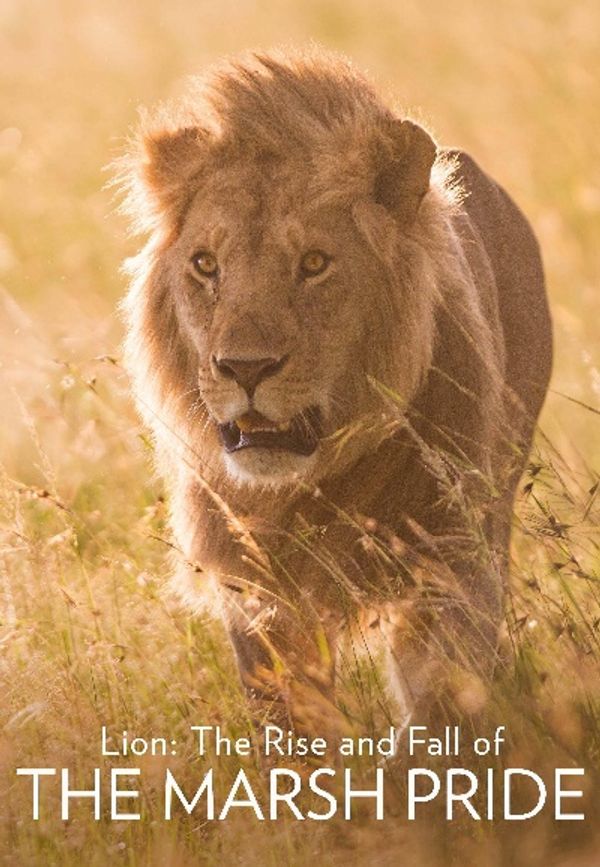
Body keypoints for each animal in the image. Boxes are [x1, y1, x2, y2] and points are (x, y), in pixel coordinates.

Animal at [117, 47, 552, 737]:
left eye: (315, 264)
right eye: (206, 265)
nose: (244, 368)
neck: (312, 485)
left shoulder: (452, 564)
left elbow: (441, 700)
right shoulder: (256, 593)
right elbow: (290, 724)